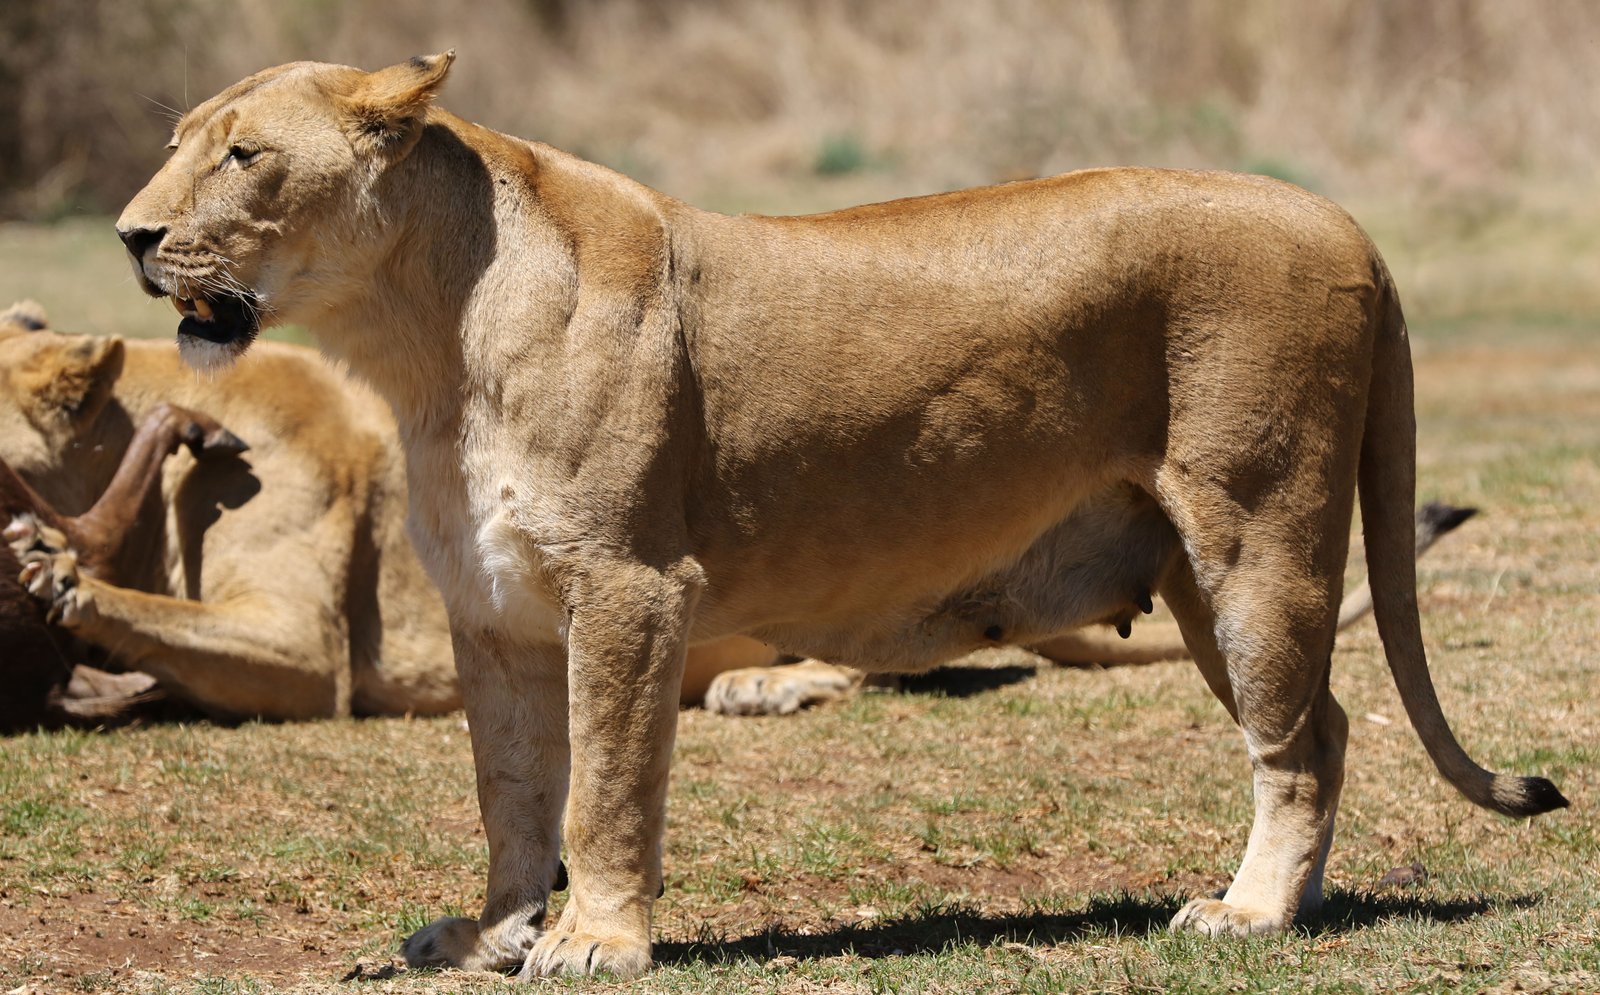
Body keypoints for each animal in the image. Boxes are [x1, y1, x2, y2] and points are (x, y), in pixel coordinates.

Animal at [105, 54, 1565, 979]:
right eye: (173, 144)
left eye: (242, 155)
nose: (128, 236)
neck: (420, 336)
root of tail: (1342, 219)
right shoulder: (495, 605)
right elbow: (512, 789)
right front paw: (492, 932)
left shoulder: (631, 582)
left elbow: (606, 786)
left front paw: (595, 938)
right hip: (1205, 575)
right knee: (1324, 722)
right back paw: (1290, 904)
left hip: (1258, 536)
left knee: (1300, 737)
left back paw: (1250, 912)